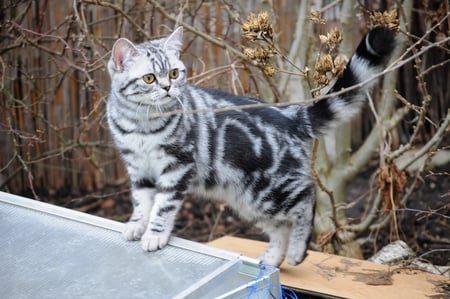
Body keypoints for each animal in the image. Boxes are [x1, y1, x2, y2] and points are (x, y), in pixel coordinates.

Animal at [107, 25, 396, 268]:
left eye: (174, 73)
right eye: (149, 78)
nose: (168, 87)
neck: (142, 125)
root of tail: (291, 114)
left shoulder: (178, 166)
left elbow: (163, 205)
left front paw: (154, 234)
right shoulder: (138, 168)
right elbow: (142, 202)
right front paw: (136, 225)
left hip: (270, 189)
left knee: (307, 198)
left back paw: (297, 251)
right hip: (251, 201)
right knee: (281, 228)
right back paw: (271, 260)